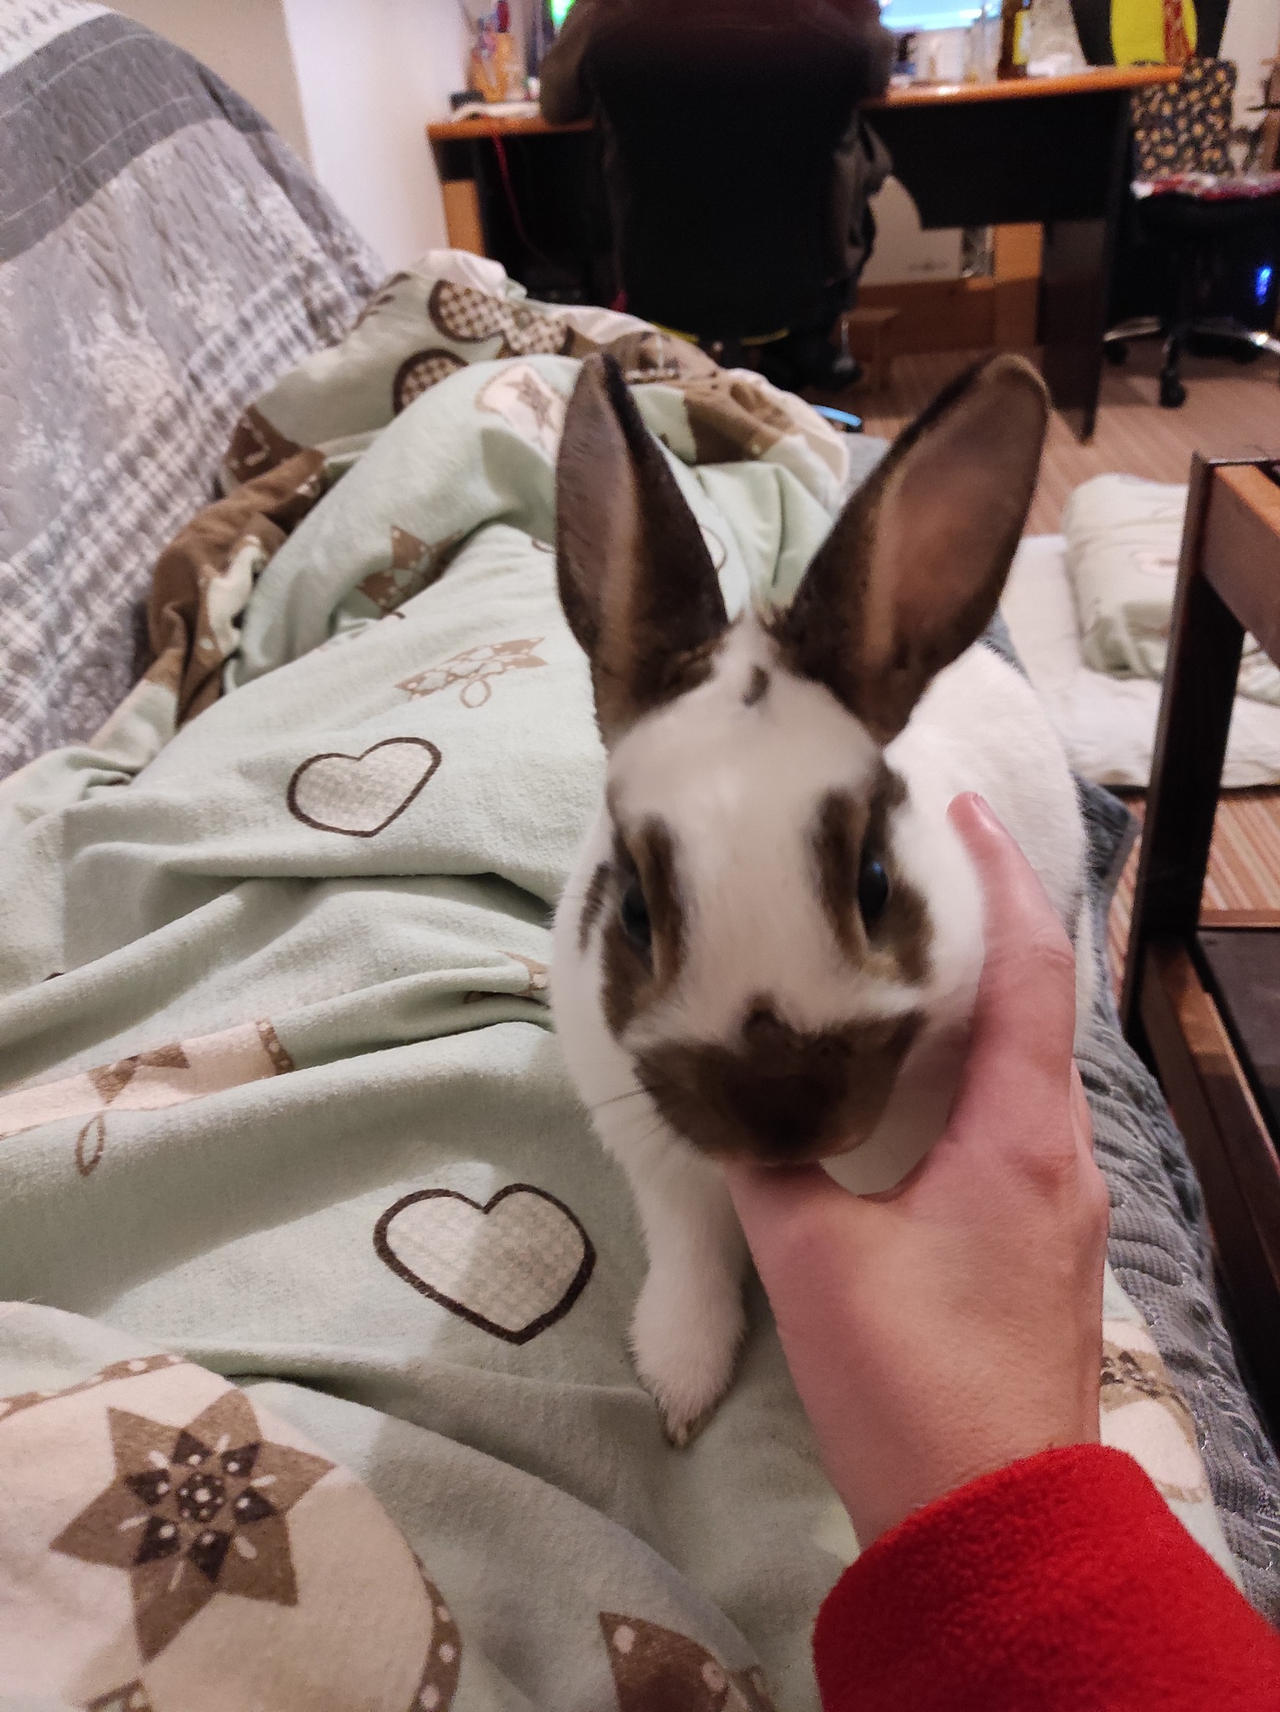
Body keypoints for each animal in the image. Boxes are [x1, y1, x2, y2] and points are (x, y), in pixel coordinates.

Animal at [550, 350, 1094, 1445]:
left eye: (872, 883)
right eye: (632, 912)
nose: (781, 1115)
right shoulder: (663, 1171)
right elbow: (690, 1257)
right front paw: (679, 1384)